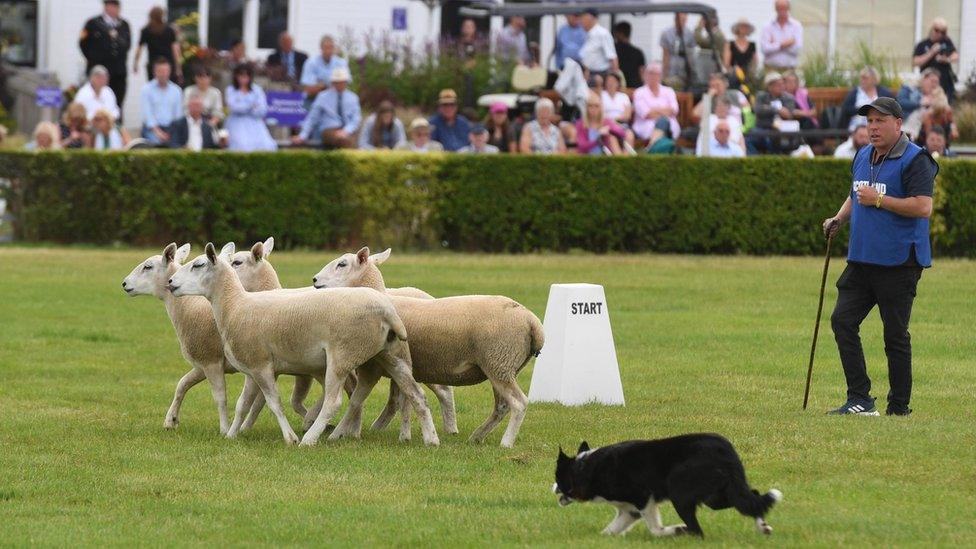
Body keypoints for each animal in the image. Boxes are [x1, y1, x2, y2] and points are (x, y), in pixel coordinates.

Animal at [121, 242, 312, 434]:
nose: (124, 283)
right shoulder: (201, 364)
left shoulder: (210, 361)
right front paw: (171, 420)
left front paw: (225, 429)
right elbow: (182, 384)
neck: (187, 307)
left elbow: (220, 397)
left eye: (148, 266)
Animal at [169, 243, 438, 446]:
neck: (235, 305)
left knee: (333, 401)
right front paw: (232, 434)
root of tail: (387, 310)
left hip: (342, 356)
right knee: (416, 394)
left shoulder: (260, 365)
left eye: (198, 265)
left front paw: (290, 438)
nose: (170, 282)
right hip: (393, 355)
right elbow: (242, 404)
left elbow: (274, 403)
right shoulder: (252, 368)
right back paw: (431, 438)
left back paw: (310, 438)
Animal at [312, 246, 544, 448]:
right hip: (503, 366)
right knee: (502, 406)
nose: (314, 280)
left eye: (342, 264)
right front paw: (404, 435)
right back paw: (477, 436)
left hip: (499, 362)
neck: (379, 296)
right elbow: (404, 401)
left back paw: (506, 442)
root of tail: (532, 321)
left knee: (519, 403)